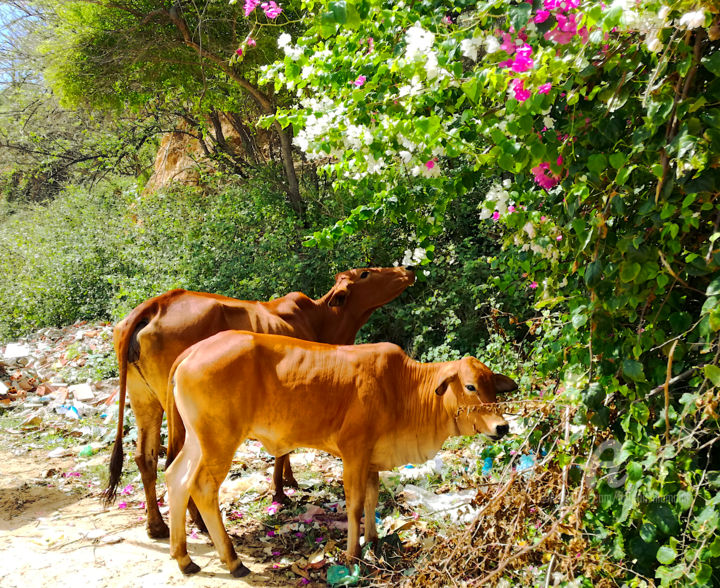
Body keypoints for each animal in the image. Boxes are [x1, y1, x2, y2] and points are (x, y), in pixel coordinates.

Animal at [104, 266, 414, 536]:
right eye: (366, 273)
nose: (408, 269)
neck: (320, 319)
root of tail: (155, 304)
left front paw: (288, 480)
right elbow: (283, 449)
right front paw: (280, 490)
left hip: (145, 399)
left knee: (145, 458)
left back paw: (156, 526)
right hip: (181, 413)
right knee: (176, 463)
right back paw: (198, 522)